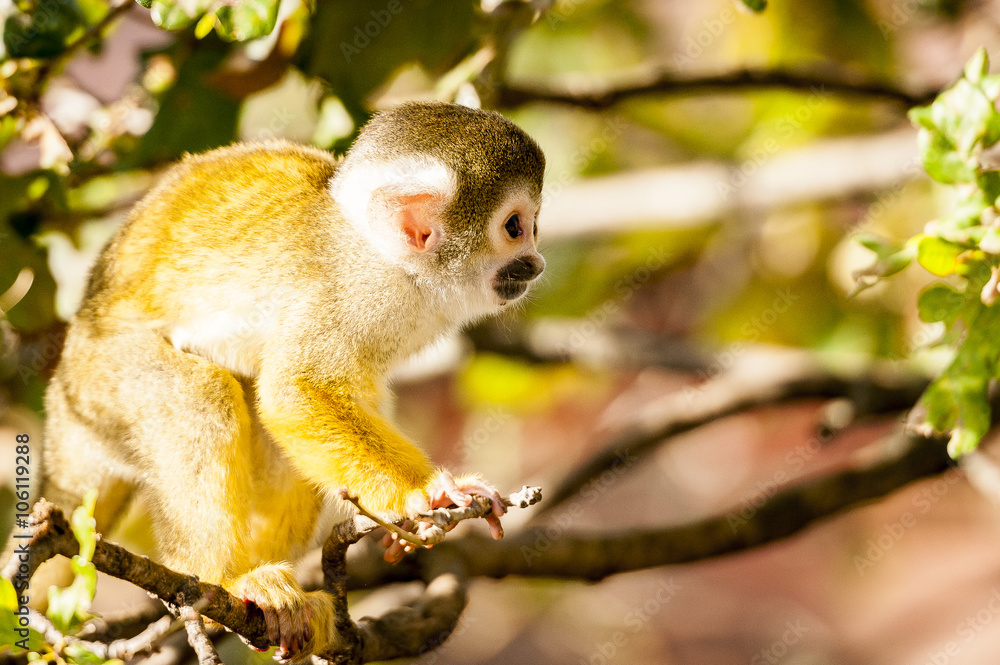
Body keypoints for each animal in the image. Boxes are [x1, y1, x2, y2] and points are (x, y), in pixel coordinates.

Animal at [28, 101, 545, 660]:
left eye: (533, 226)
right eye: (514, 227)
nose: (537, 263)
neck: (386, 261)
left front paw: (399, 529)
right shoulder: (345, 293)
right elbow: (297, 393)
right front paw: (427, 493)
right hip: (103, 381)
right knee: (202, 401)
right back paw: (224, 580)